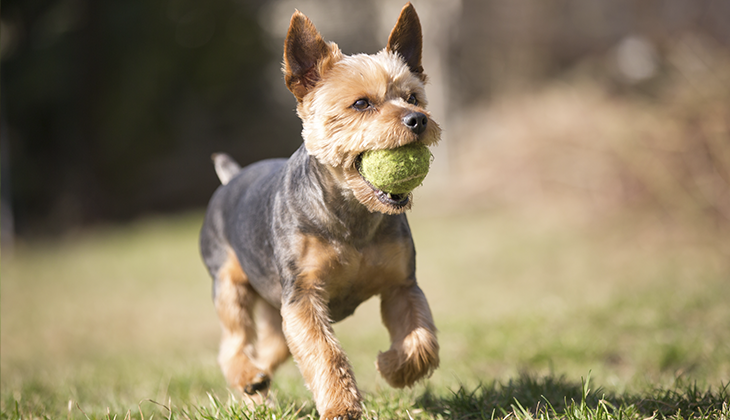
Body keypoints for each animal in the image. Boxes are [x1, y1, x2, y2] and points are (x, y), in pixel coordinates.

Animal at [198, 2, 438, 416]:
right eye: (361, 103)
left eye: (413, 98)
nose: (418, 120)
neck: (351, 213)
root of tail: (231, 177)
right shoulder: (303, 298)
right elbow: (324, 353)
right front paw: (342, 407)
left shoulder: (401, 285)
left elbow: (421, 341)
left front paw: (392, 366)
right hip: (229, 284)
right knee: (233, 339)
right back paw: (248, 377)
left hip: (275, 310)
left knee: (270, 347)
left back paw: (257, 386)